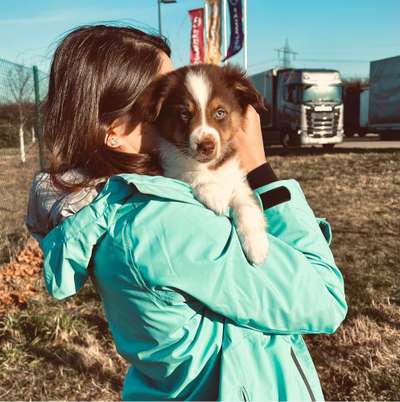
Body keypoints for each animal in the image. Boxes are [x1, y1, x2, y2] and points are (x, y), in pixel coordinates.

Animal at [141, 64, 268, 266]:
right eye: (184, 114)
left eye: (220, 112)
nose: (206, 146)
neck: (211, 167)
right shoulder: (171, 167)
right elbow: (189, 173)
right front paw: (214, 194)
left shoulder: (237, 181)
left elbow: (247, 206)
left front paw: (256, 246)